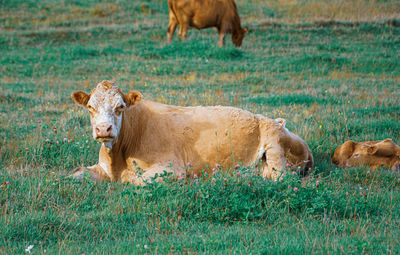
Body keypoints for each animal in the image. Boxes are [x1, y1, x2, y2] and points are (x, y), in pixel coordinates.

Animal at [70, 80, 312, 184]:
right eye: (90, 107)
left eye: (120, 107)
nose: (103, 129)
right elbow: (74, 174)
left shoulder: (170, 168)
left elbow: (135, 182)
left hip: (275, 145)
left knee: (279, 178)